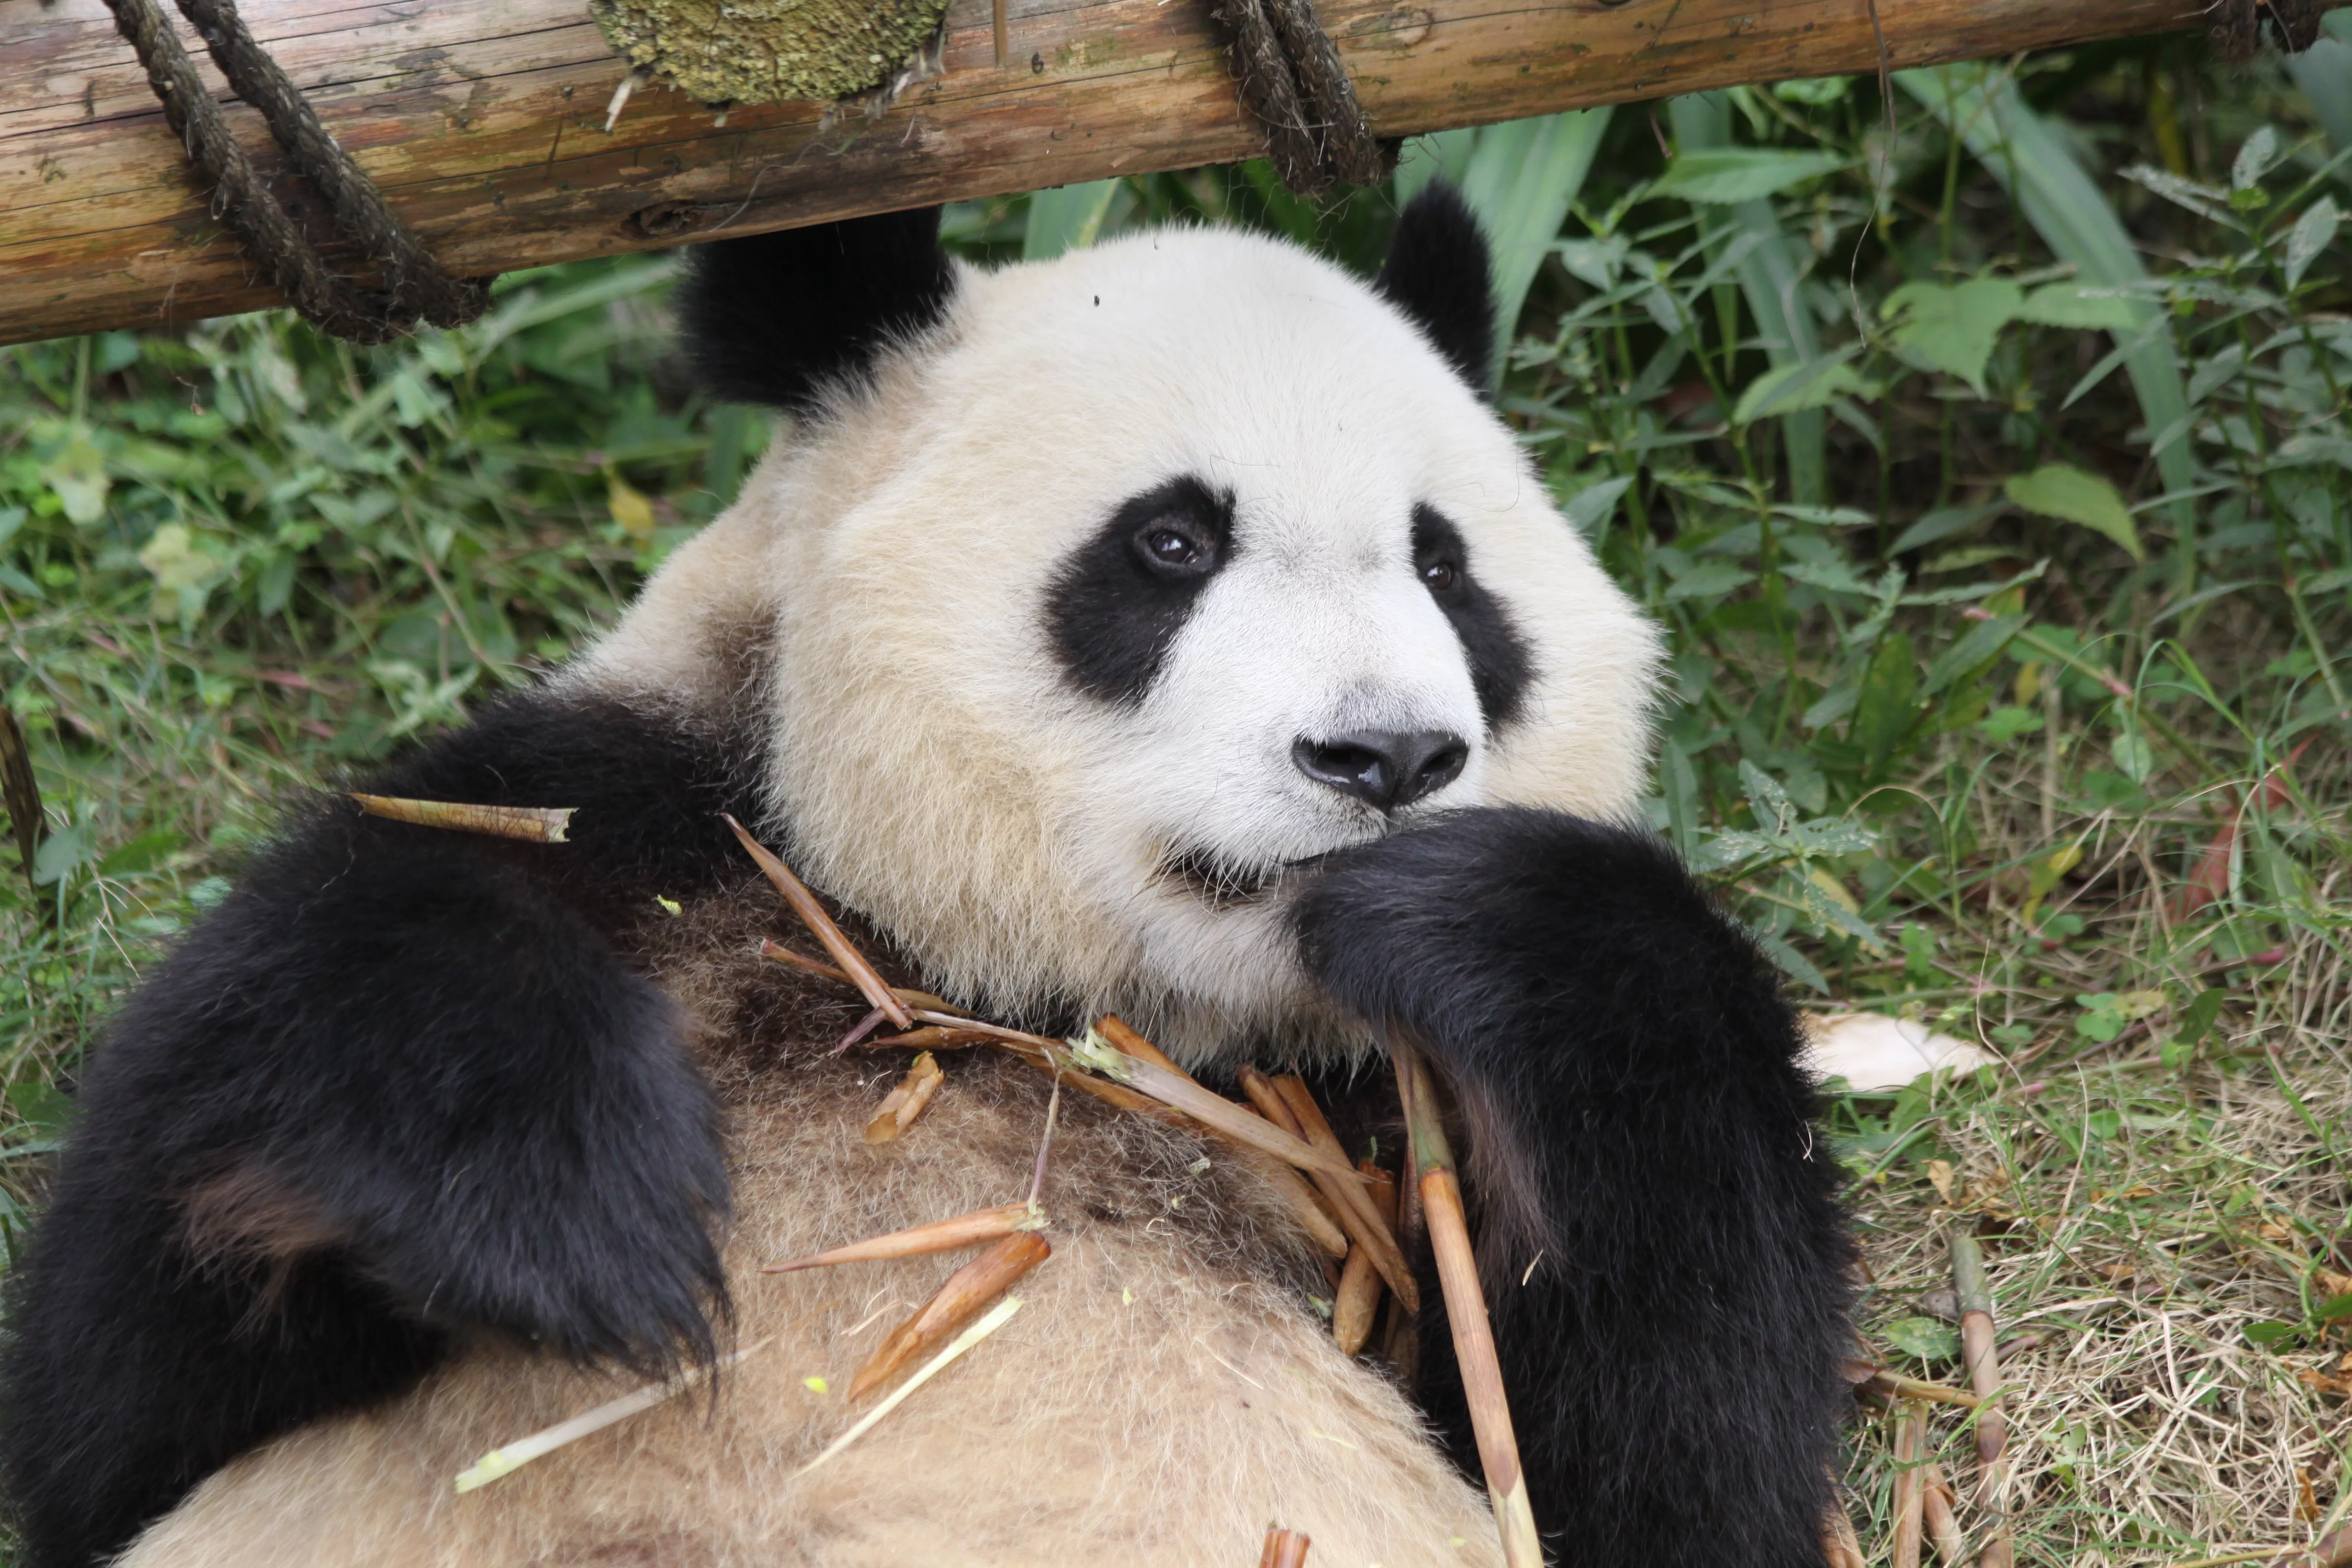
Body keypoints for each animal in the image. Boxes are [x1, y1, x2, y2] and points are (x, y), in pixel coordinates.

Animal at [0, 190, 1853, 1568]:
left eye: (1449, 571)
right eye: (1170, 544)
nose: (1388, 759)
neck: (1012, 1000)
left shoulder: (1375, 1136)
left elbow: (1677, 1476)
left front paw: (1487, 914)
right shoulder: (674, 820)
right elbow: (116, 1365)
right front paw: (576, 1208)